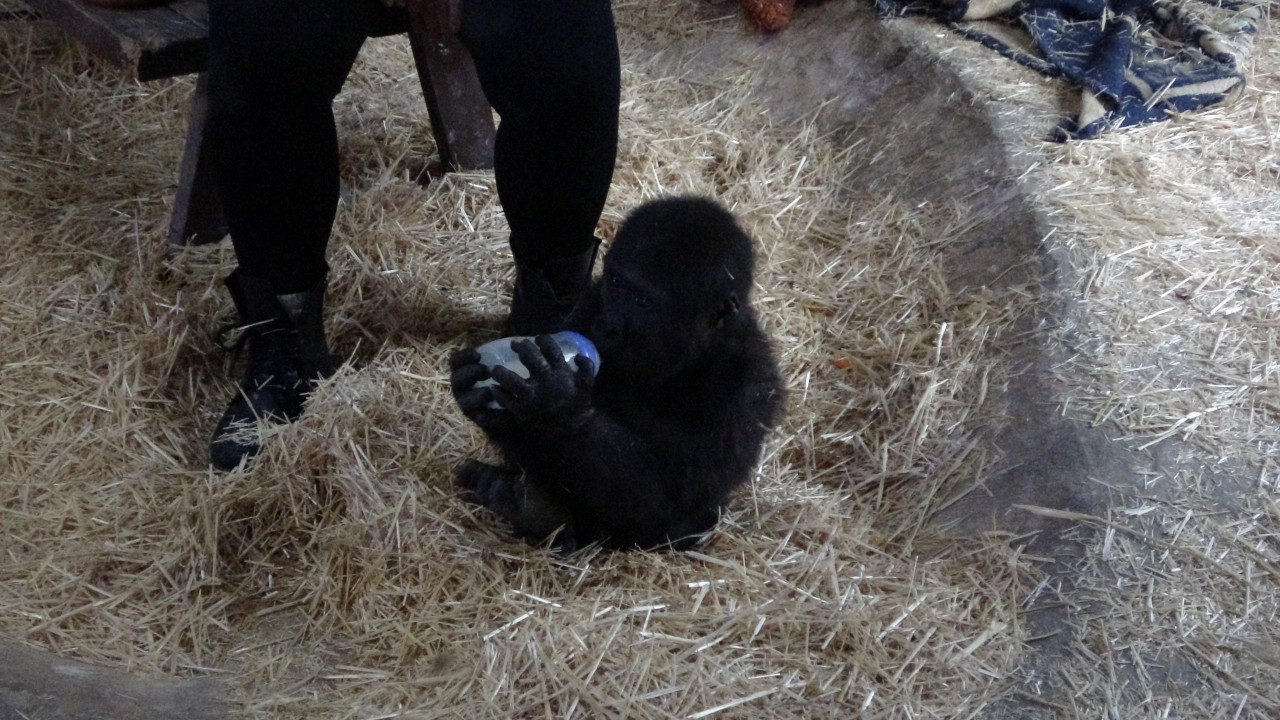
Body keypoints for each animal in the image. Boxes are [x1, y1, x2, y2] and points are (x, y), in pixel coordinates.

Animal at [455, 193, 783, 545]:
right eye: (615, 282)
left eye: (643, 302)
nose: (608, 325)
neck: (690, 354)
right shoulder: (592, 301)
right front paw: (480, 396)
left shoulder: (747, 387)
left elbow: (667, 504)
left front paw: (558, 403)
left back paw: (532, 508)